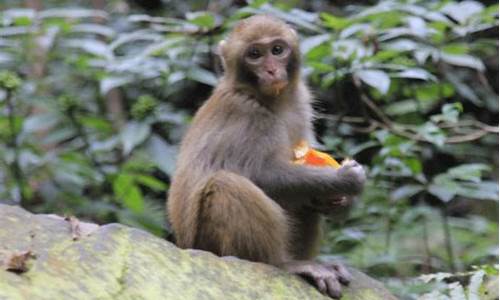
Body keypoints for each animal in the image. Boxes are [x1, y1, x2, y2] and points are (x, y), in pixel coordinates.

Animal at [166, 14, 366, 298]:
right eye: (254, 55)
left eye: (277, 50)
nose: (271, 70)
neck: (268, 99)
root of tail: (185, 246)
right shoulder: (247, 115)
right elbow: (261, 176)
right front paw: (344, 180)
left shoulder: (300, 103)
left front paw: (339, 201)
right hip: (210, 245)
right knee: (227, 185)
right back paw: (285, 264)